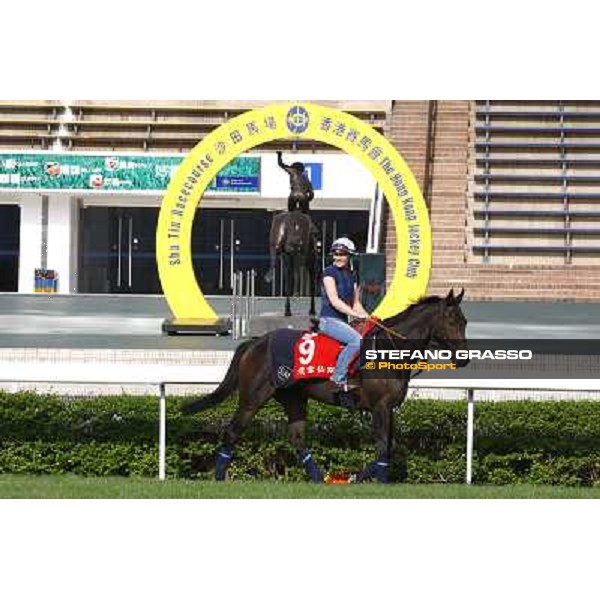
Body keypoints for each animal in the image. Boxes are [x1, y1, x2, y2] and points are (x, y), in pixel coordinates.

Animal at [183, 290, 468, 482]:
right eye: (451, 321)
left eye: (464, 322)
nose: (464, 359)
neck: (389, 350)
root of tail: (254, 343)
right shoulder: (380, 406)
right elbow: (383, 446)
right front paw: (374, 480)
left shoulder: (390, 408)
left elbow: (390, 446)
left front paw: (356, 477)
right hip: (253, 398)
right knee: (232, 432)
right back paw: (219, 477)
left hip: (294, 398)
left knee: (297, 438)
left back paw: (319, 478)